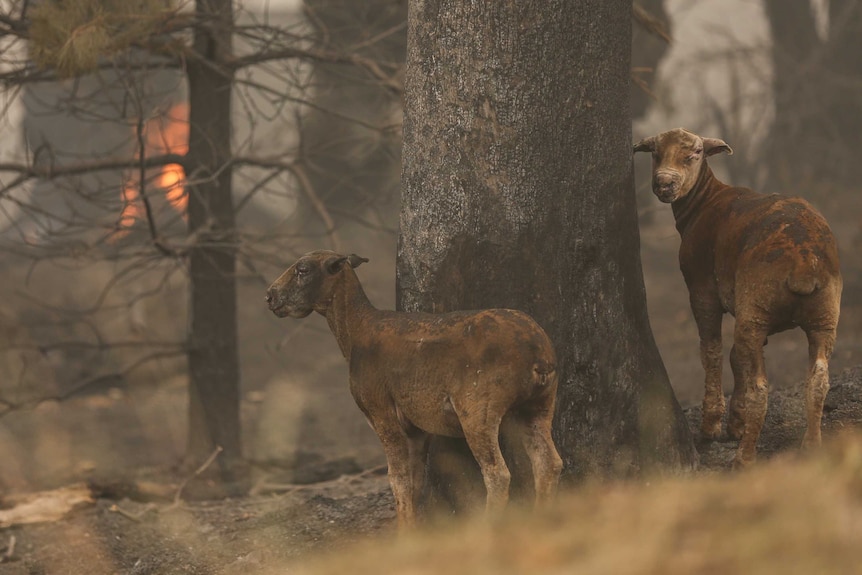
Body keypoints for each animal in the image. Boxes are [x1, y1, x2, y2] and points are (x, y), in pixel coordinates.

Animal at [266, 250, 564, 528]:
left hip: (478, 409)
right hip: (539, 405)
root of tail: (537, 353)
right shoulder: (418, 428)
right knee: (549, 462)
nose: (270, 296)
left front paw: (403, 533)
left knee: (497, 473)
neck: (356, 333)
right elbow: (416, 480)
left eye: (303, 270)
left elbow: (397, 478)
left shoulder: (382, 412)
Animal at [636, 128, 844, 470]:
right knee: (818, 379)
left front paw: (712, 426)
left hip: (757, 306)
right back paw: (812, 446)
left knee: (761, 388)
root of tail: (803, 266)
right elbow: (737, 357)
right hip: (821, 312)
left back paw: (744, 457)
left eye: (695, 153)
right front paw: (736, 422)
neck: (705, 201)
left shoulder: (702, 288)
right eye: (654, 152)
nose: (664, 183)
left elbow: (712, 351)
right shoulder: (747, 309)